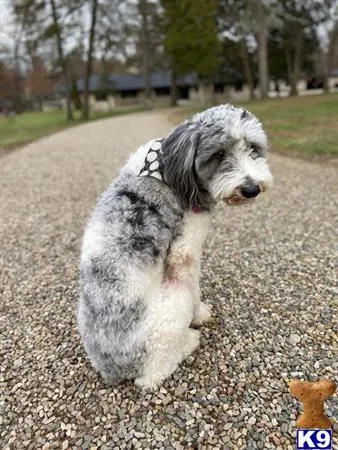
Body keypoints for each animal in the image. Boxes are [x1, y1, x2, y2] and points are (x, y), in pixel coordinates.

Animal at [78, 103, 274, 388]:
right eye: (218, 154)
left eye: (253, 147)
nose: (251, 189)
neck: (166, 166)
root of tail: (112, 370)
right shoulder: (185, 251)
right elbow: (194, 287)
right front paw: (200, 314)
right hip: (170, 309)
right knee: (153, 375)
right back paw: (189, 341)